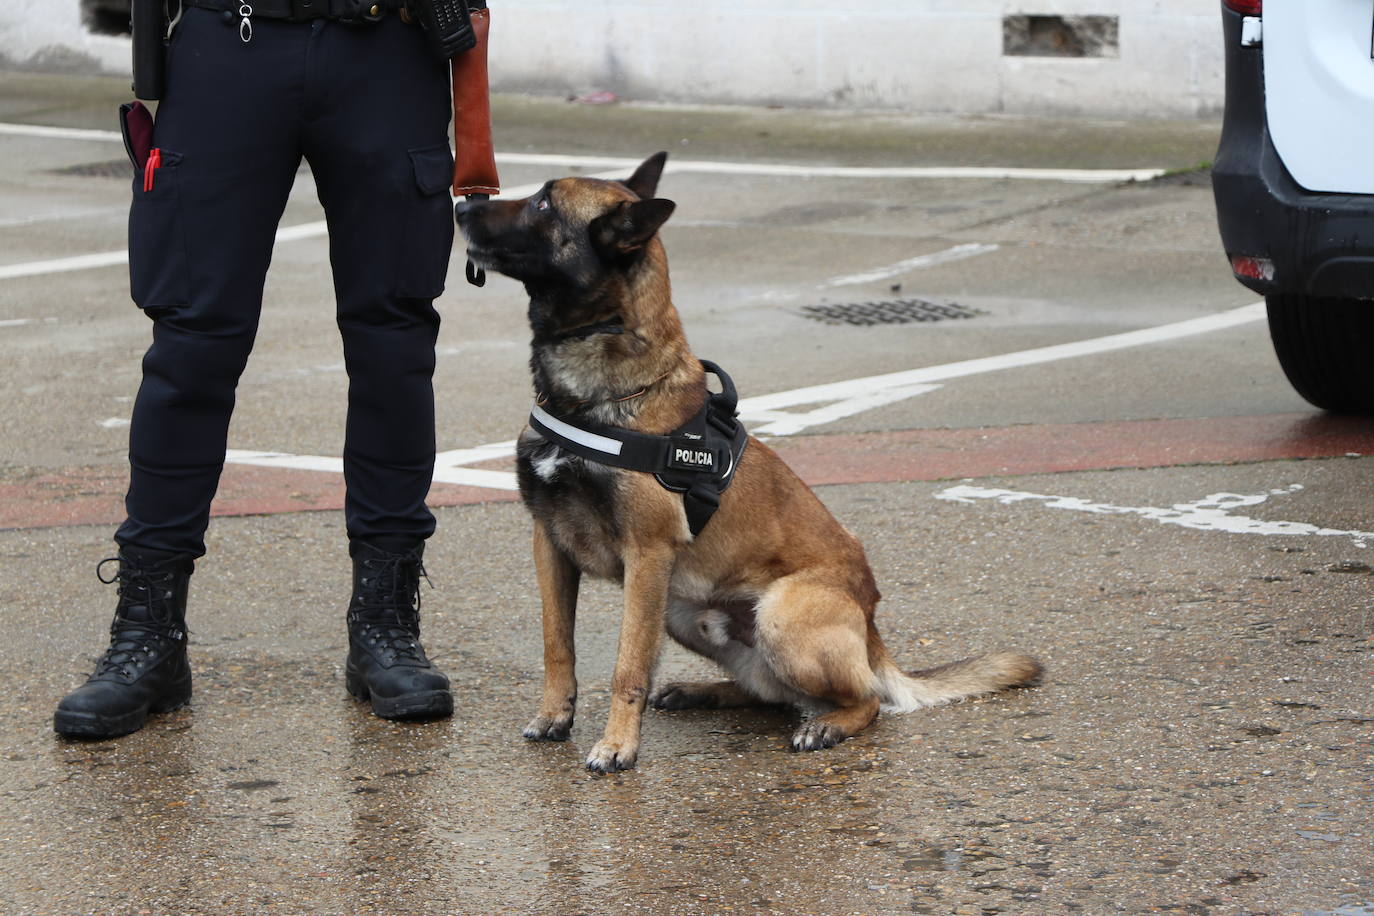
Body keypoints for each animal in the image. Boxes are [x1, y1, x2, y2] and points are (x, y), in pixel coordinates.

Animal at [450, 153, 1038, 769]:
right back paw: (702, 691)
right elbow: (556, 643)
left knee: (864, 699)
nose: (461, 206)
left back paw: (826, 725)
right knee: (770, 693)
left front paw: (617, 745)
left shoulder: (647, 557)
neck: (596, 397)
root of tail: (873, 629)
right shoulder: (550, 544)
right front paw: (555, 715)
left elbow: (627, 665)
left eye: (543, 203)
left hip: (774, 616)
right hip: (683, 612)